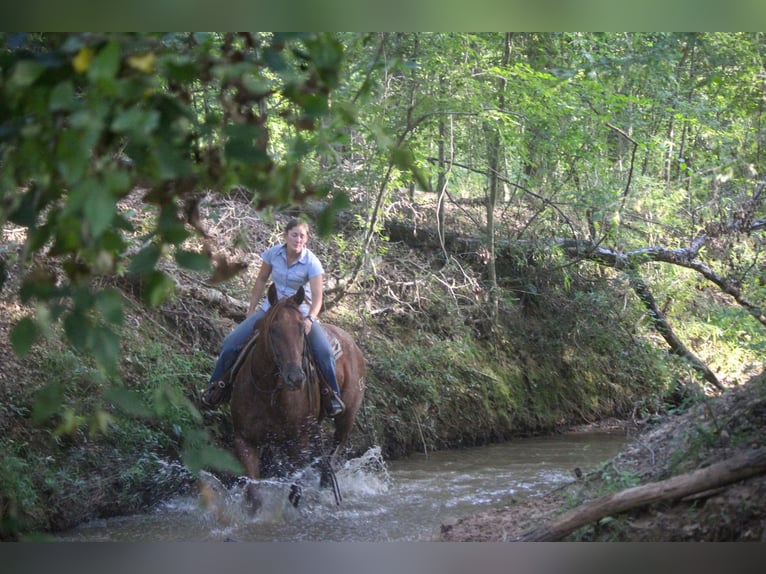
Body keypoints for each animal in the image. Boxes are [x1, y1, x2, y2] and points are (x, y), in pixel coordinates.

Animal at [230, 286, 368, 510]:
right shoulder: (245, 439)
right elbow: (254, 495)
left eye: (302, 329)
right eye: (273, 329)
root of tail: (353, 344)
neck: (268, 391)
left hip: (346, 417)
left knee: (336, 447)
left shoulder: (298, 441)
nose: (295, 378)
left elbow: (295, 490)